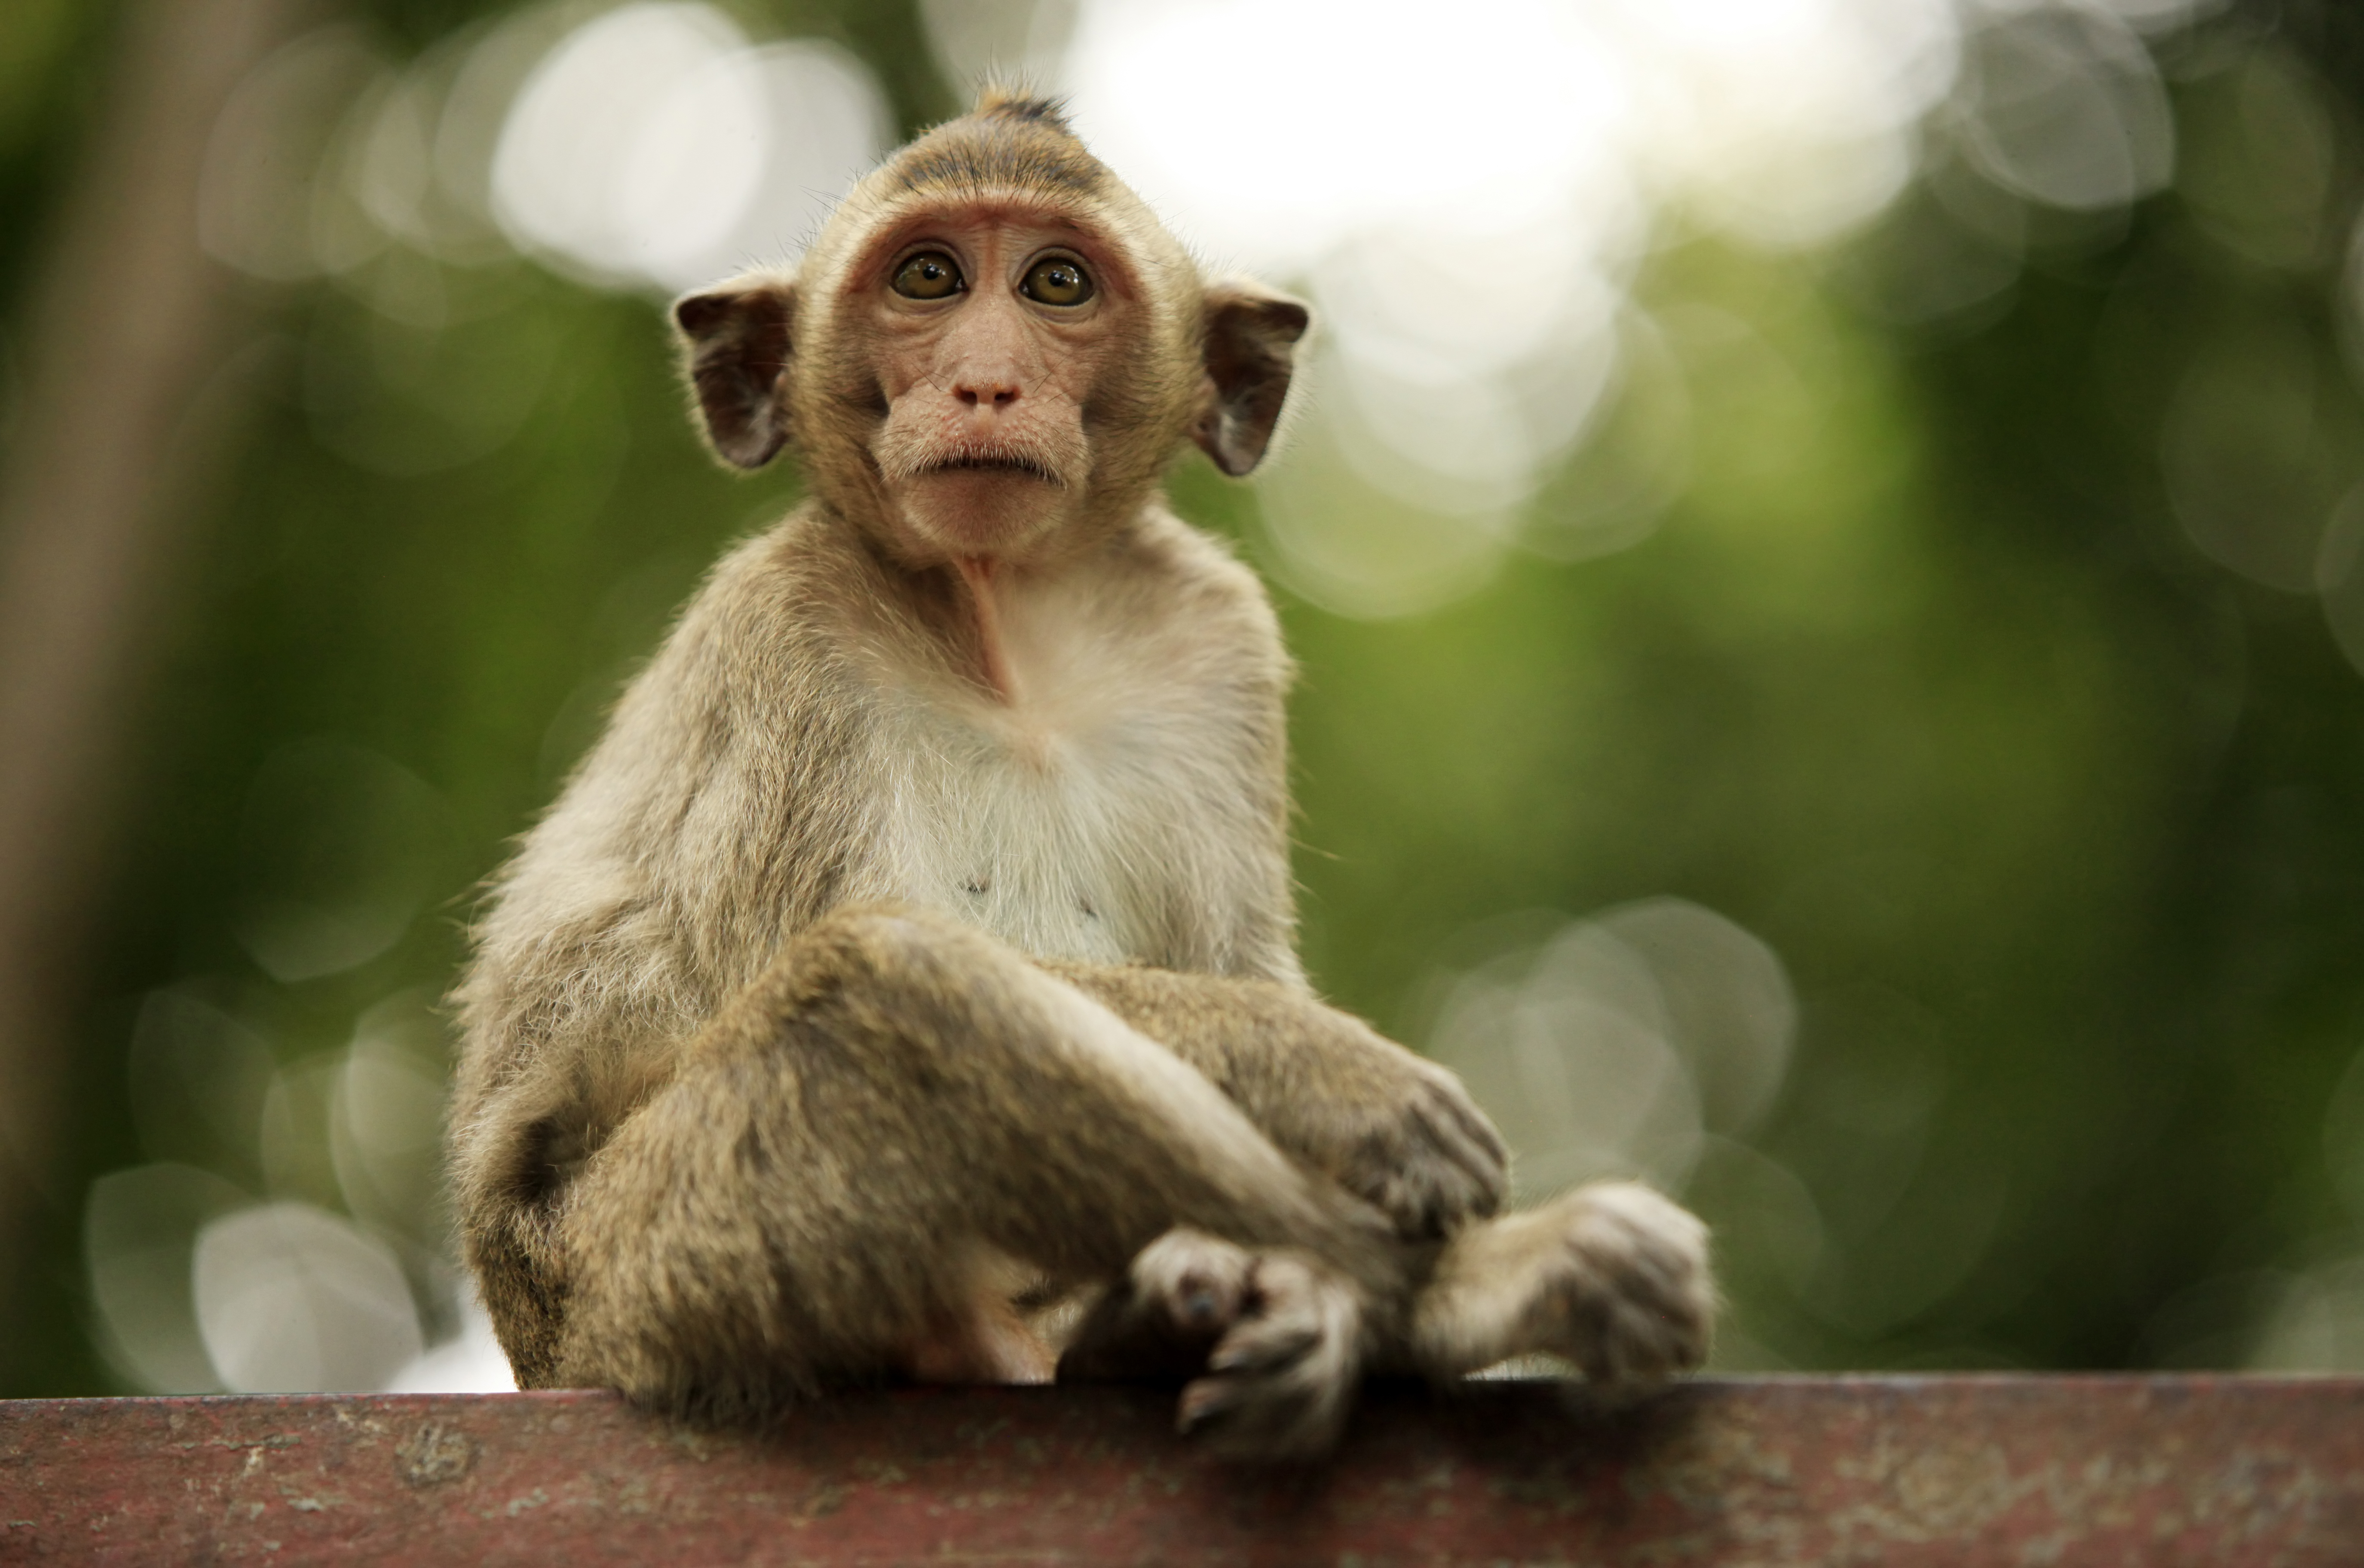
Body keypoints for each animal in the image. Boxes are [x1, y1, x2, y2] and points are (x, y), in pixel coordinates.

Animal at [440, 89, 1702, 1457]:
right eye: (928, 277)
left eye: (1056, 284)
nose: (984, 381)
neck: (1013, 632)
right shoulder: (785, 634)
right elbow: (805, 952)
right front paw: (1322, 1069)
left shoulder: (1219, 639)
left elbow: (1229, 952)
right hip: (657, 1272)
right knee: (883, 995)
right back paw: (1469, 1290)